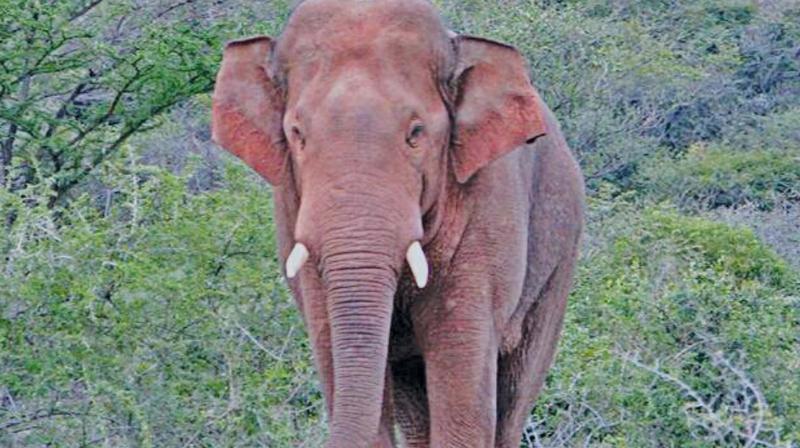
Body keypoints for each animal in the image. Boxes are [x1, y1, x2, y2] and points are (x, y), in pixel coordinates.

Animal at [211, 0, 588, 448]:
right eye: (297, 133)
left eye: (416, 132)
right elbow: (336, 349)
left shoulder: (488, 208)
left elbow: (462, 380)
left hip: (558, 264)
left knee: (513, 396)